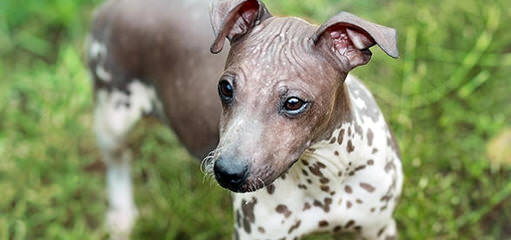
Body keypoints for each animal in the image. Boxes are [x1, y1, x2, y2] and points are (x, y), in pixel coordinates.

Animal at [87, 0, 404, 240]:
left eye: (293, 103)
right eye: (225, 88)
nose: (227, 172)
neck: (323, 179)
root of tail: (111, 6)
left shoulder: (379, 229)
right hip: (113, 115)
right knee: (117, 161)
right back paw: (121, 216)